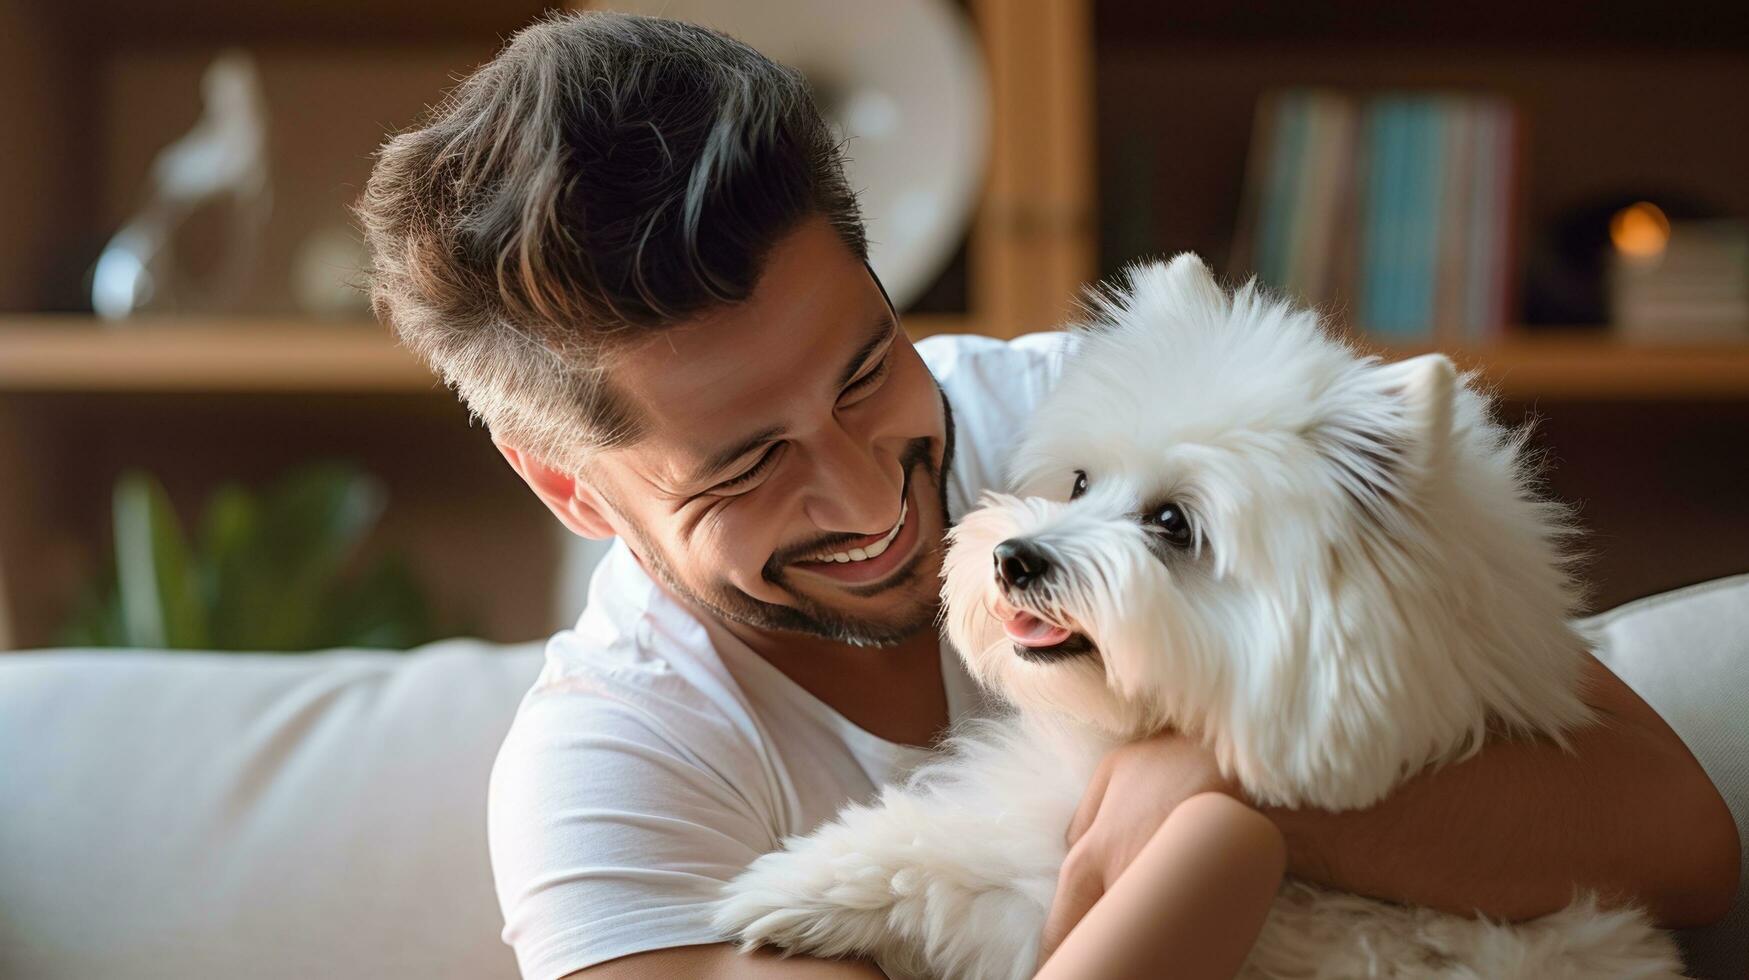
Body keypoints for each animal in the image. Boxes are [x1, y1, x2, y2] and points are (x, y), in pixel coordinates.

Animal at [710, 257, 1679, 973]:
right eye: (1078, 482)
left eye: (1173, 524)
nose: (1011, 558)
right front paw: (783, 889)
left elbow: (959, 863)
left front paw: (784, 890)